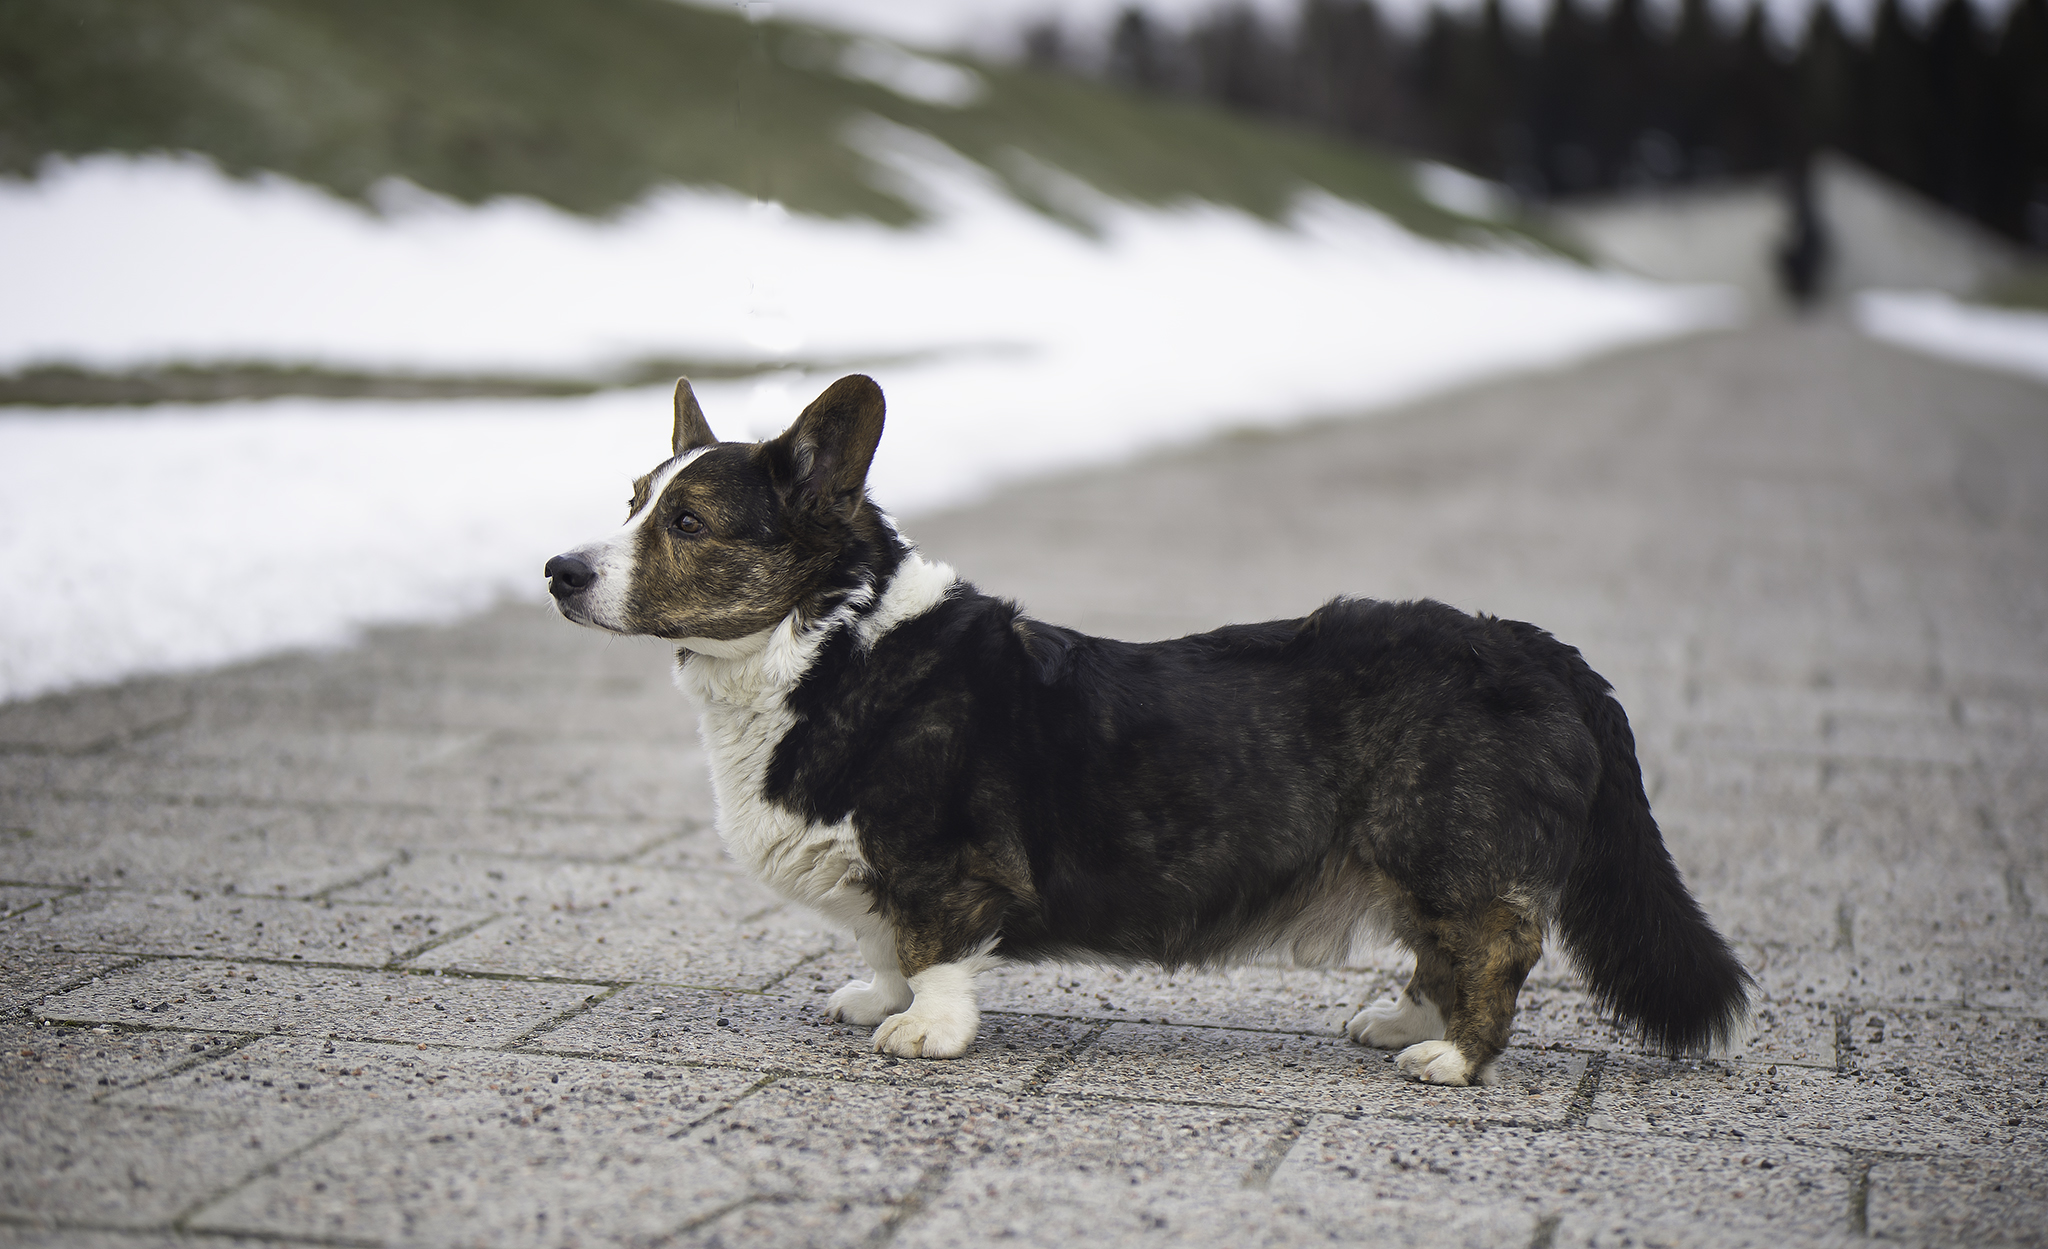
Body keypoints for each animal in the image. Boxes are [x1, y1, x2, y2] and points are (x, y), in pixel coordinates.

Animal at [543, 375, 1752, 1086]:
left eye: (687, 521)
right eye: (632, 497)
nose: (556, 571)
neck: (828, 640)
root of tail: (1539, 648)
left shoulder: (940, 865)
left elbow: (930, 948)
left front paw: (924, 1030)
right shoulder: (878, 877)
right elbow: (880, 942)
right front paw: (871, 998)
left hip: (1443, 843)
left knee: (1494, 944)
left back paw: (1453, 1056)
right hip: (1408, 855)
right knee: (1436, 945)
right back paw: (1403, 1022)